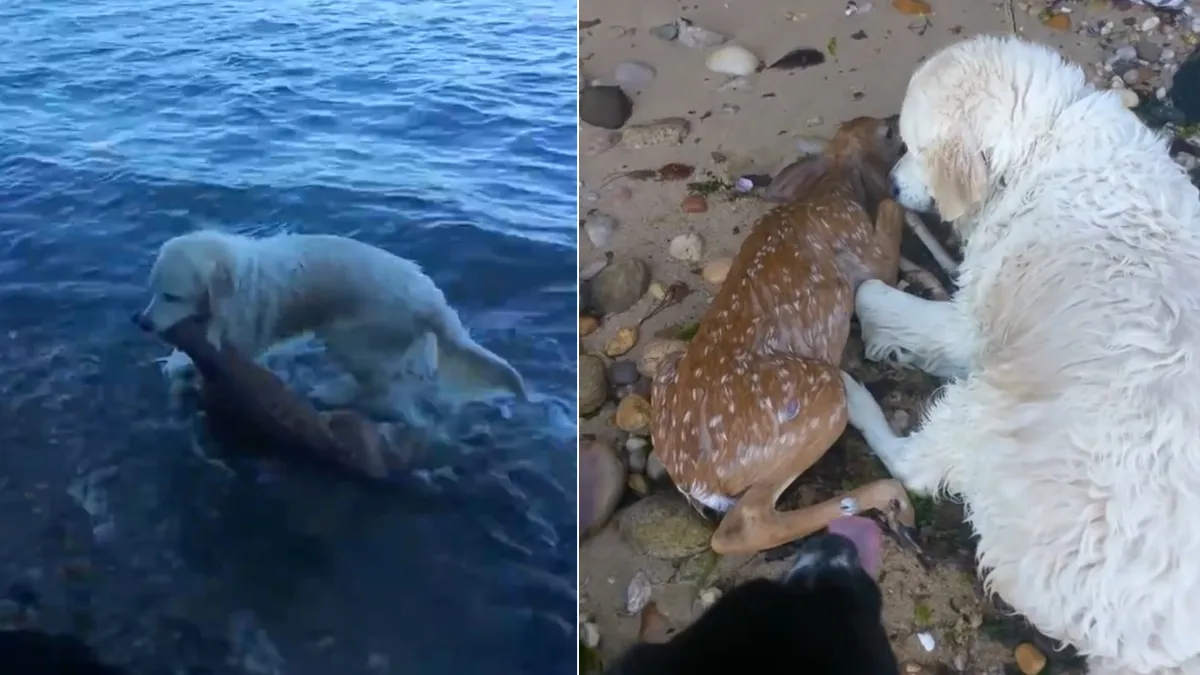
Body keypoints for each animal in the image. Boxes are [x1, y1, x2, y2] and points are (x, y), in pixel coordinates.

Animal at [840, 35, 1200, 672]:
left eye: (912, 145)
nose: (893, 189)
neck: (1042, 141)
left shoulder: (970, 328)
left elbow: (874, 296)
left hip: (994, 404)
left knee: (915, 471)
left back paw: (854, 398)